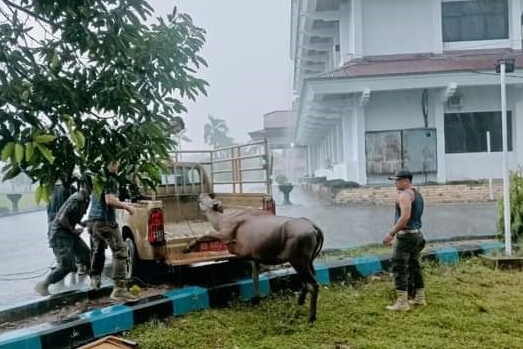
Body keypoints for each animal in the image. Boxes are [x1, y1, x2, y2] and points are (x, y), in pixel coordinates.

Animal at [188, 192, 326, 322]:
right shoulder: (254, 258)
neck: (221, 218)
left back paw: (311, 318)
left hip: (298, 261)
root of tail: (314, 228)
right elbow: (255, 277)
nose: (202, 194)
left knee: (313, 284)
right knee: (308, 282)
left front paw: (189, 246)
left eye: (210, 200)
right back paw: (300, 302)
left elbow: (206, 233)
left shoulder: (226, 237)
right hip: (308, 262)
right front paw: (256, 299)